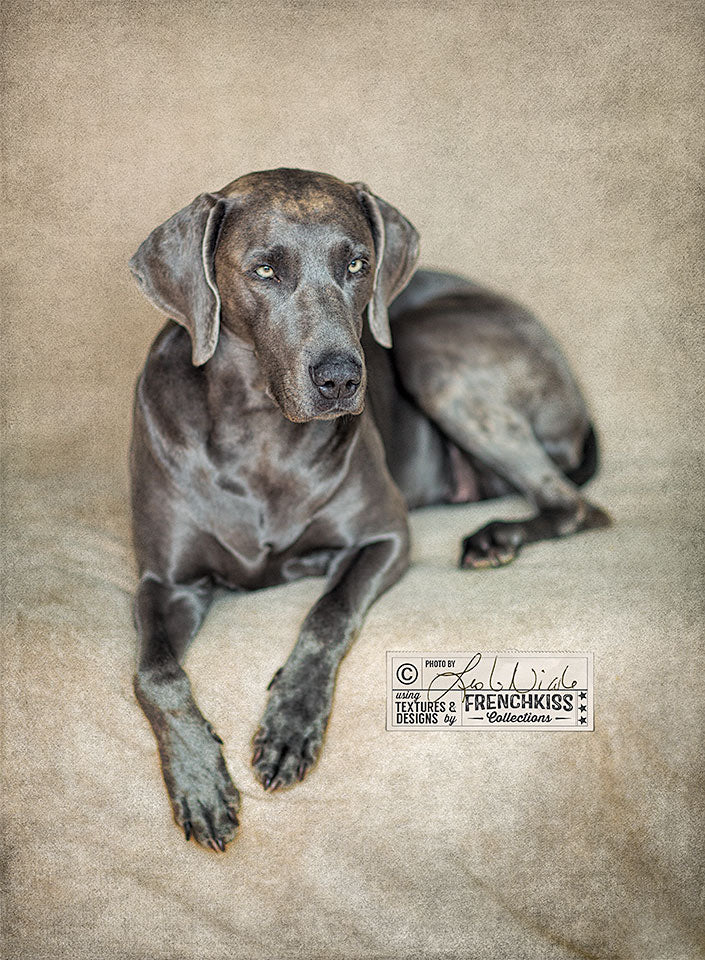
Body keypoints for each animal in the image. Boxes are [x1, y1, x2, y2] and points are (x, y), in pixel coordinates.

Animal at [128, 169, 612, 852]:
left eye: (357, 264)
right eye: (264, 270)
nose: (341, 379)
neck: (258, 429)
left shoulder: (385, 537)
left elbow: (328, 614)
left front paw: (290, 725)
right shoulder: (163, 581)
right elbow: (155, 674)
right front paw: (199, 784)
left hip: (432, 351)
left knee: (573, 505)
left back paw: (495, 539)